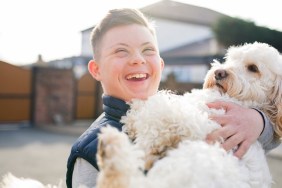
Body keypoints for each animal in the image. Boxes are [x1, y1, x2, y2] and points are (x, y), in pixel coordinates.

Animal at [95, 42, 282, 188]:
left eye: (253, 68)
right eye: (230, 59)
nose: (219, 72)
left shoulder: (194, 121)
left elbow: (157, 110)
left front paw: (135, 119)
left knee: (119, 180)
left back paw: (110, 146)